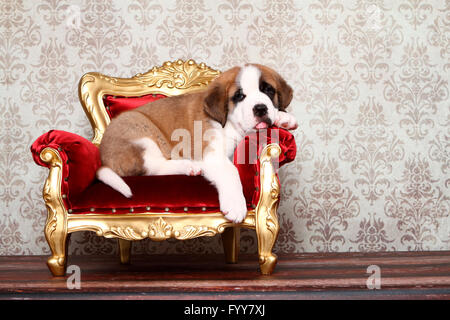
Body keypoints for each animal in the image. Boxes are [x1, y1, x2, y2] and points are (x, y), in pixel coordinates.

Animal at [96, 62, 298, 222]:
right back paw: (189, 166)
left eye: (268, 90)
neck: (229, 122)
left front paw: (284, 118)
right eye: (240, 96)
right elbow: (231, 171)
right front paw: (235, 204)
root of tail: (103, 157)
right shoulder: (211, 153)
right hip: (140, 129)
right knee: (151, 167)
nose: (260, 108)